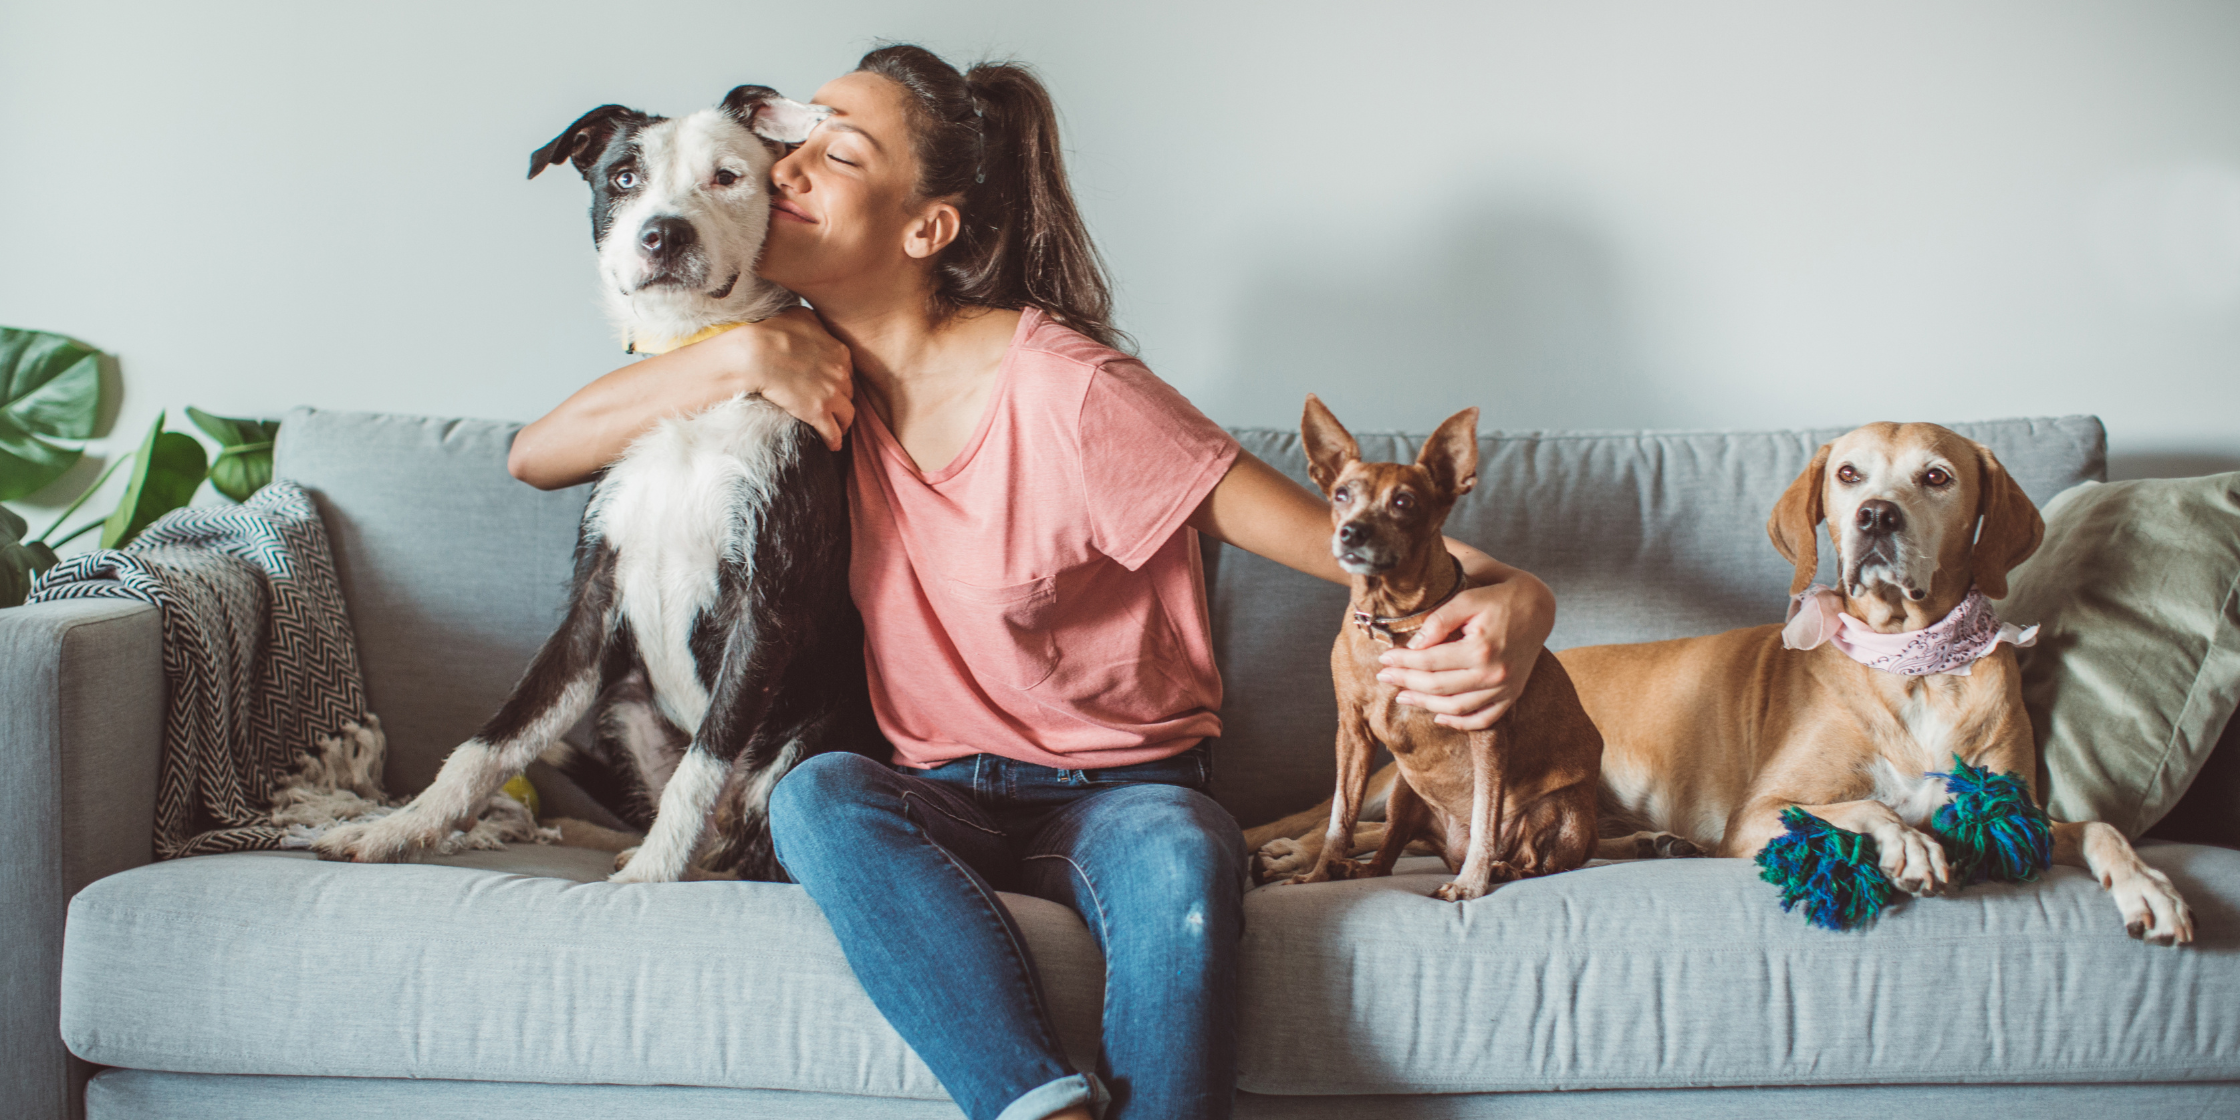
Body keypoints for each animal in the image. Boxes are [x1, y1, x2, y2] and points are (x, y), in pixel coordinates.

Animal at [315, 85, 873, 882]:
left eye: (728, 176)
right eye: (623, 178)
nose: (662, 235)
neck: (691, 375)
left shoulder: (766, 607)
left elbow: (704, 762)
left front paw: (650, 878)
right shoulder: (592, 599)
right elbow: (490, 742)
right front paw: (398, 828)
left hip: (808, 737)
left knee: (756, 848)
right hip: (623, 703)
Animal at [1272, 396, 1603, 900]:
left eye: (1404, 502)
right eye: (1341, 495)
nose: (1351, 532)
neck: (1392, 622)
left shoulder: (1486, 732)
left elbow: (1486, 817)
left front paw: (1470, 883)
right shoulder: (1352, 734)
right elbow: (1340, 818)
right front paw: (1320, 873)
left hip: (1559, 807)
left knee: (1537, 861)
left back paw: (1501, 870)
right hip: (1404, 792)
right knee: (1386, 855)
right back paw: (1355, 870)